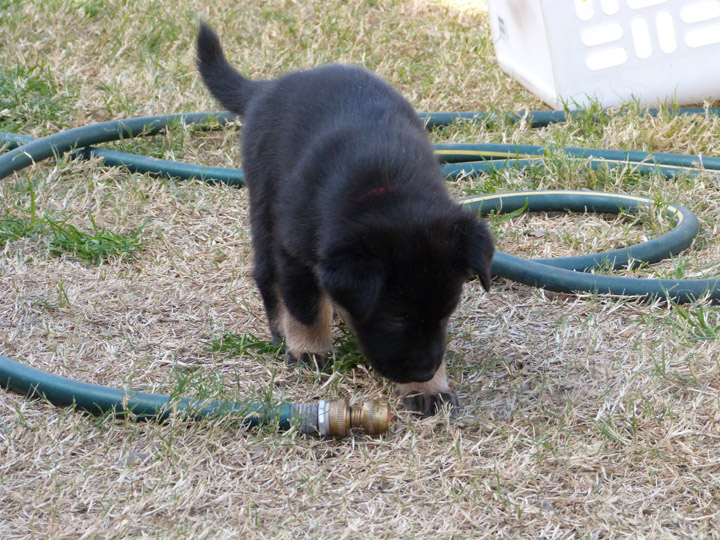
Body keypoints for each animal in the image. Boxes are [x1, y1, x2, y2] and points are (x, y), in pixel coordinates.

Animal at [194, 23, 492, 416]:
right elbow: (305, 307)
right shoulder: (294, 251)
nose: (425, 371)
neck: (385, 190)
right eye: (396, 318)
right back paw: (281, 328)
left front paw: (427, 388)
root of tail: (268, 87)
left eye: (446, 314)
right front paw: (310, 350)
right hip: (263, 202)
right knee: (266, 273)